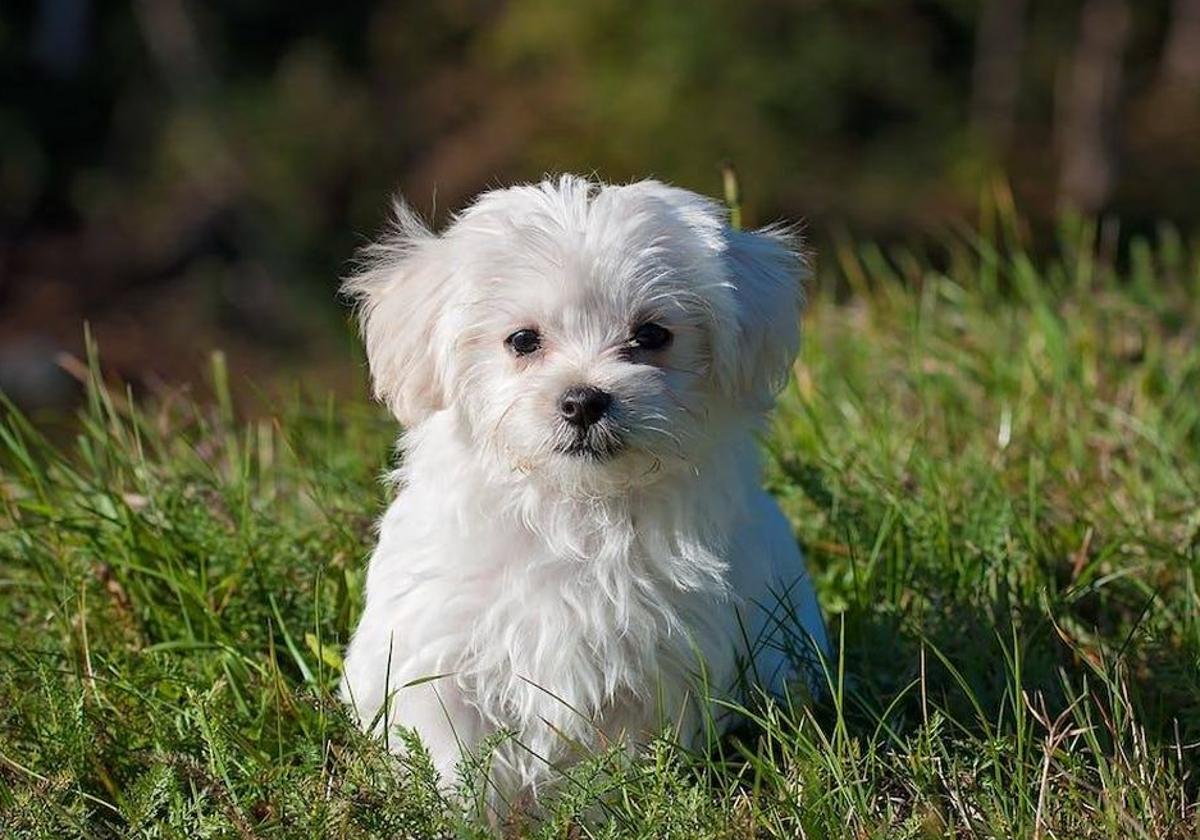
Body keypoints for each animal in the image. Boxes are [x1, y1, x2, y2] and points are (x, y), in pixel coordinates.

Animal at [336, 174, 825, 801]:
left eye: (652, 335)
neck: (576, 508)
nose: (583, 400)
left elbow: (616, 763)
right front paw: (463, 810)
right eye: (523, 340)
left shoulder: (652, 669)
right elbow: (453, 756)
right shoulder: (439, 653)